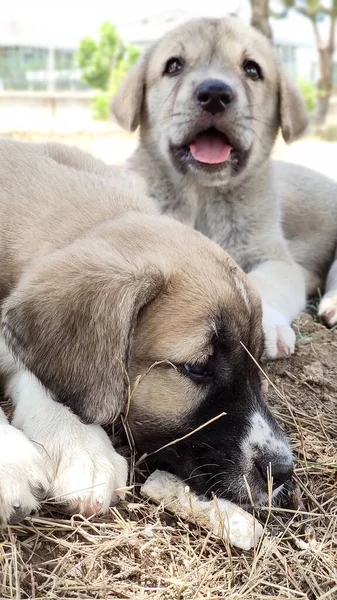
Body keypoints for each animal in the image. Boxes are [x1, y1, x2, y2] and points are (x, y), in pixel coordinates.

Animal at [111, 16, 336, 358]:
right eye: (174, 65)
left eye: (252, 69)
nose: (215, 93)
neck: (202, 197)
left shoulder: (273, 257)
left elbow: (261, 283)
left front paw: (265, 322)